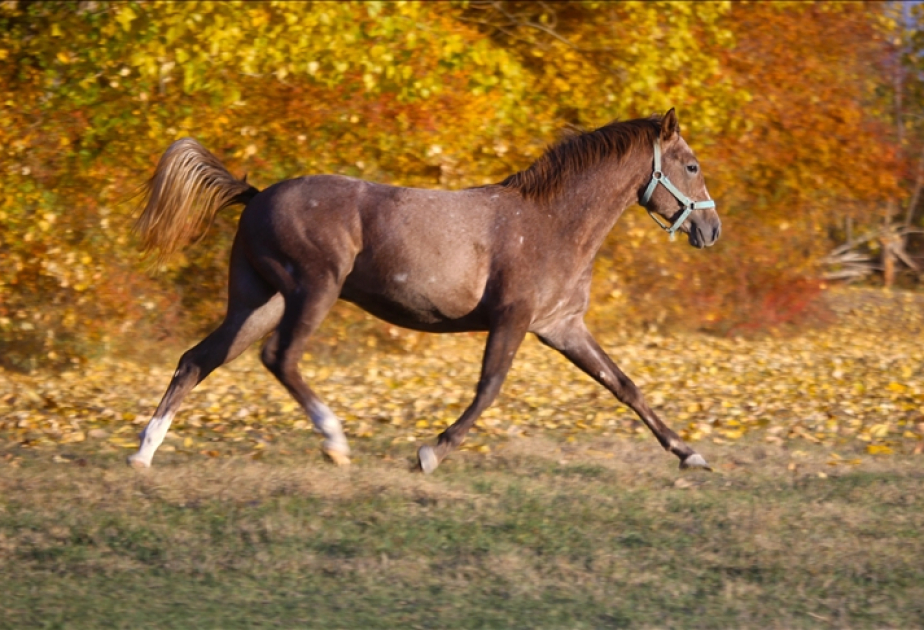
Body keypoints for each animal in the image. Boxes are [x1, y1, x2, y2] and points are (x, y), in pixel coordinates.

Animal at [127, 108, 720, 473]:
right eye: (691, 165)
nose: (711, 231)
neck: (551, 222)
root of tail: (256, 196)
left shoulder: (562, 327)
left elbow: (624, 386)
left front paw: (689, 454)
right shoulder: (513, 319)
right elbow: (489, 388)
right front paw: (431, 453)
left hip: (259, 301)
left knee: (197, 360)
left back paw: (143, 454)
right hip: (311, 292)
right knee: (280, 358)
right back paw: (335, 443)